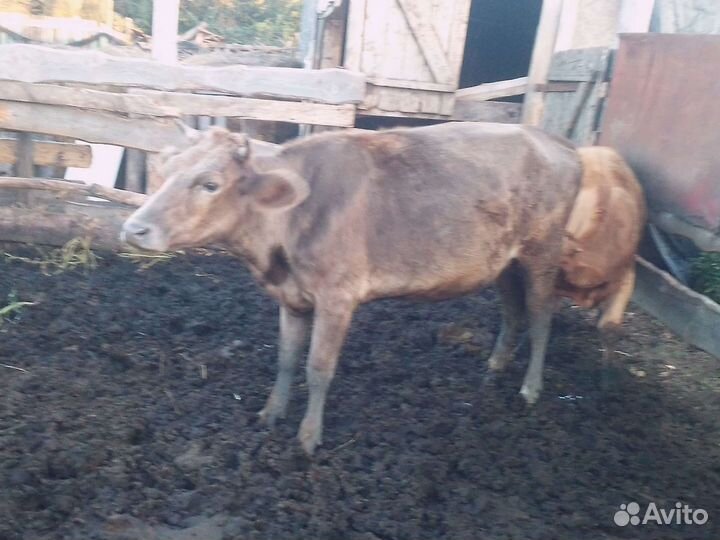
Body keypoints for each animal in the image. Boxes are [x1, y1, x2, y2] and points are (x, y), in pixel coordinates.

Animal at [121, 122, 581, 455]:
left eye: (210, 183)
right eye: (167, 169)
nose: (133, 228)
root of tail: (557, 141)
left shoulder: (337, 298)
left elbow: (318, 368)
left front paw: (308, 436)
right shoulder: (292, 298)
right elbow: (287, 358)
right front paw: (271, 413)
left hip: (543, 252)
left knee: (541, 316)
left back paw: (530, 388)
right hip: (505, 261)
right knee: (512, 310)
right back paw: (495, 366)